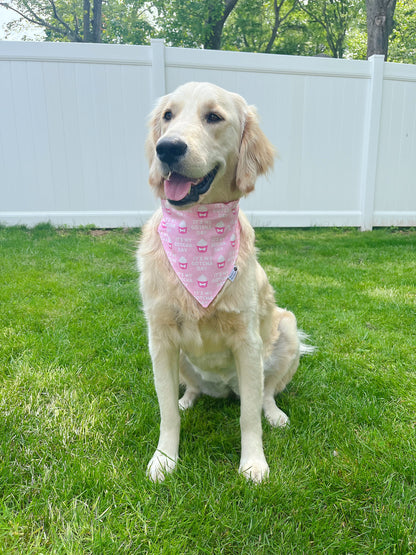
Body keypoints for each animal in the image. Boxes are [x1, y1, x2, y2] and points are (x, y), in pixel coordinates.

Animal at [138, 81, 310, 482]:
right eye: (168, 115)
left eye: (214, 117)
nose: (167, 147)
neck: (198, 227)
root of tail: (223, 387)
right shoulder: (160, 338)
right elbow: (166, 412)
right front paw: (165, 459)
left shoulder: (246, 340)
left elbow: (249, 417)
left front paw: (253, 463)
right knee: (191, 390)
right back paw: (188, 399)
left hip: (287, 330)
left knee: (265, 393)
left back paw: (274, 414)